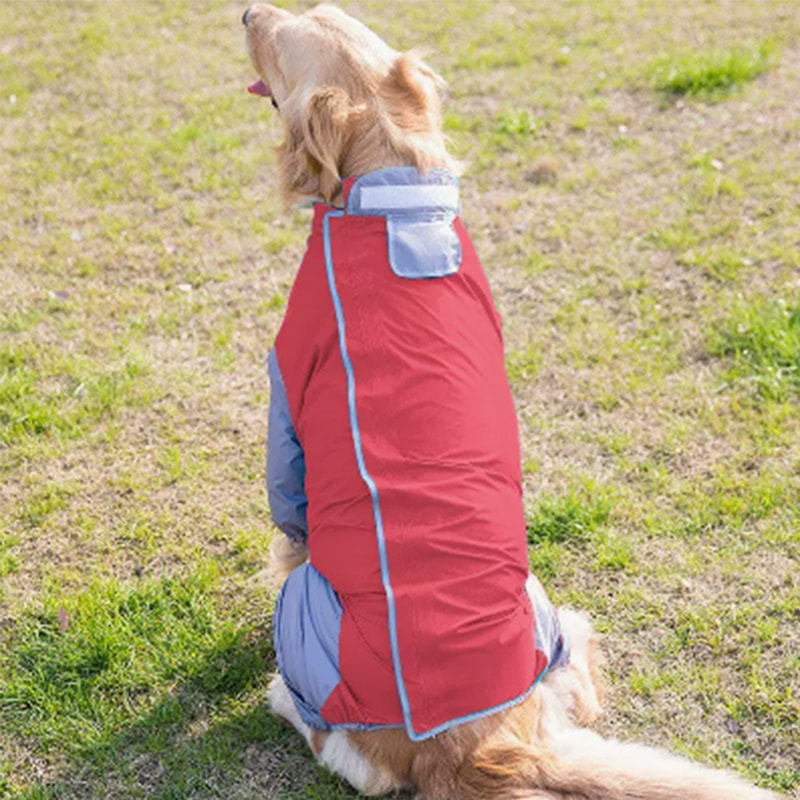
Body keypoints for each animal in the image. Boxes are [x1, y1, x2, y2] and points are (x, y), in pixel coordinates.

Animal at [242, 6, 776, 800]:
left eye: (279, 46)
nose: (249, 13)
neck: (394, 188)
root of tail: (490, 746)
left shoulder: (289, 407)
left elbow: (288, 519)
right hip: (543, 611)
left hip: (315, 623)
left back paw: (283, 696)